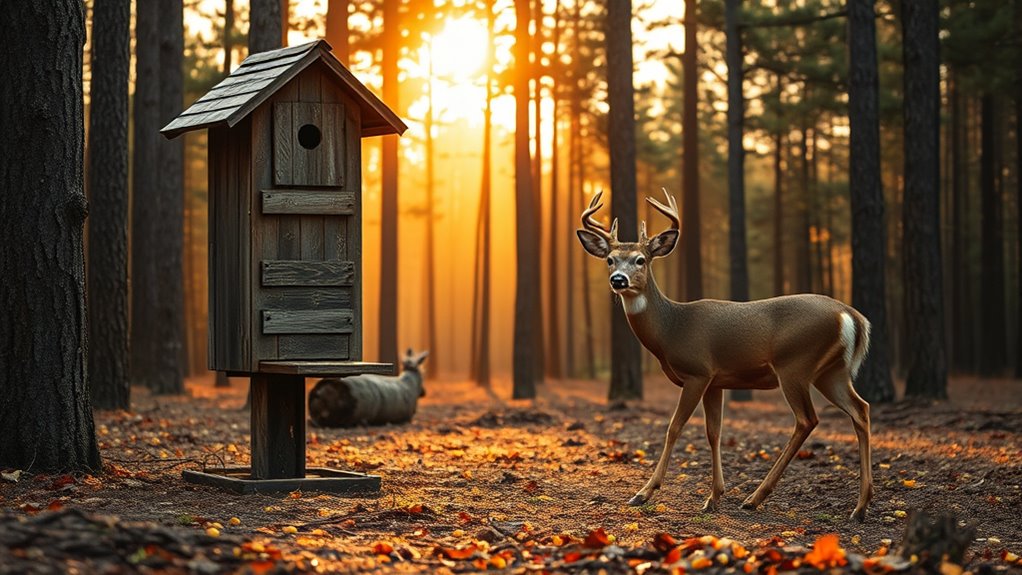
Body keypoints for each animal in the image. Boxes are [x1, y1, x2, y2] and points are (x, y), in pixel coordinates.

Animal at [576, 189, 874, 521]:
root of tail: (851, 316)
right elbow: (713, 432)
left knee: (807, 419)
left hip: (795, 365)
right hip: (831, 372)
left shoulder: (697, 372)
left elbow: (674, 427)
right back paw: (860, 506)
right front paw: (714, 497)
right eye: (610, 259)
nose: (618, 280)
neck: (671, 329)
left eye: (640, 260)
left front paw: (644, 493)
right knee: (861, 409)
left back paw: (755, 498)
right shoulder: (716, 381)